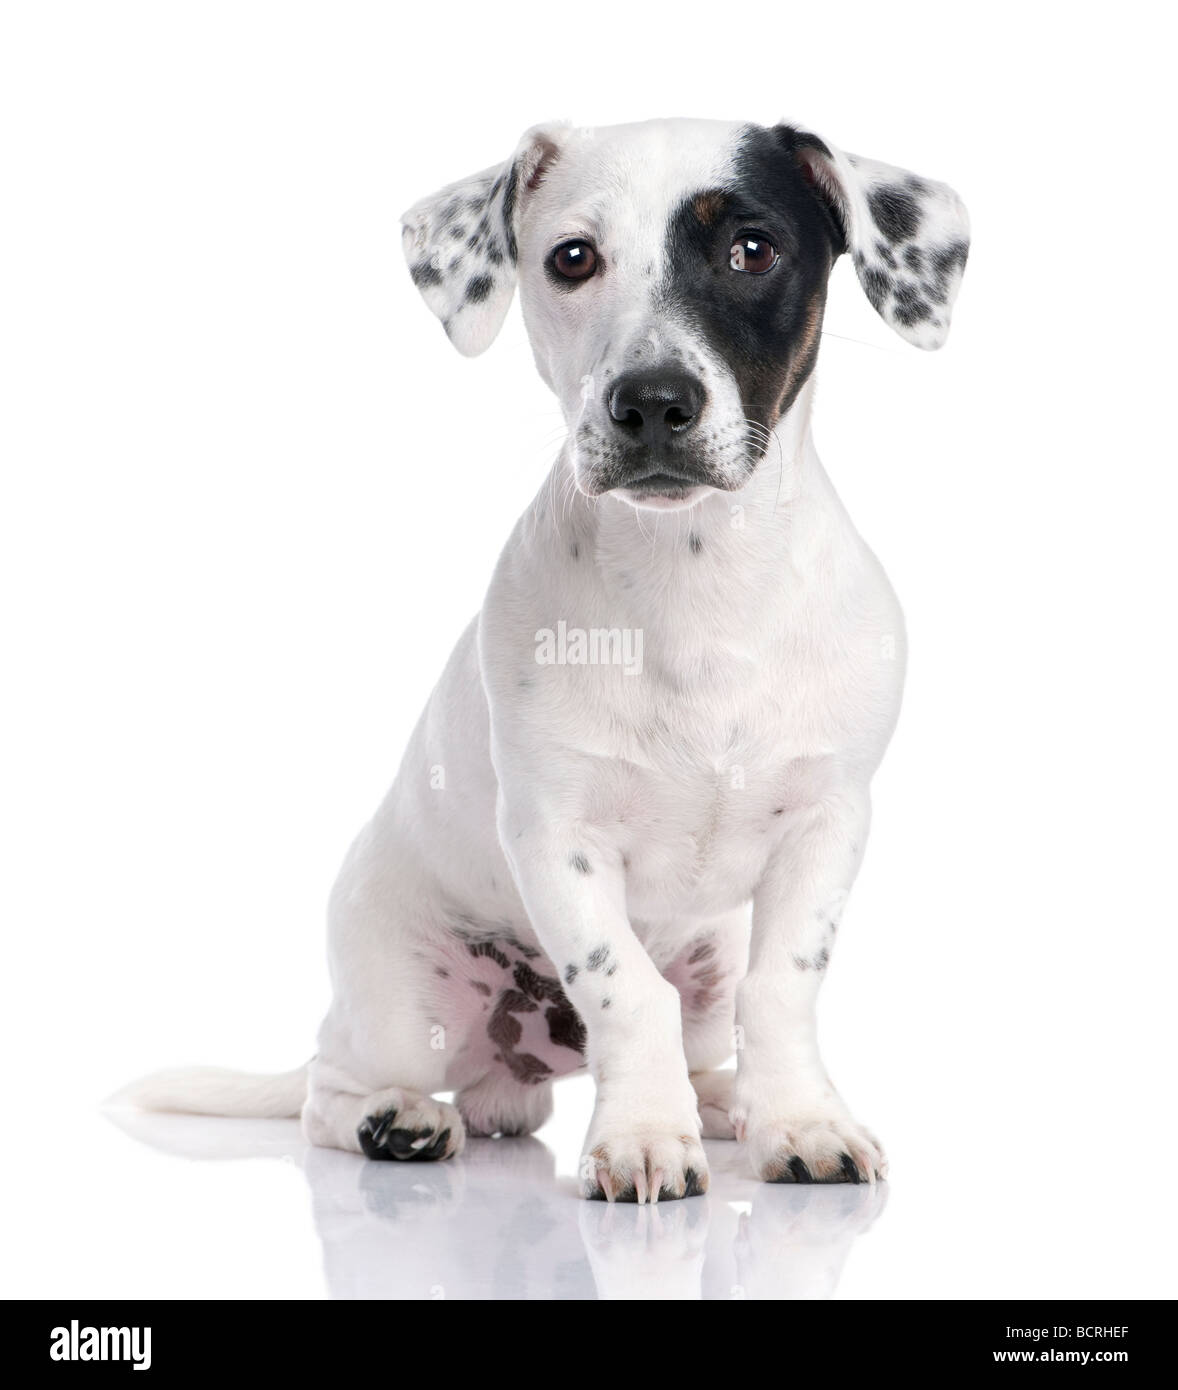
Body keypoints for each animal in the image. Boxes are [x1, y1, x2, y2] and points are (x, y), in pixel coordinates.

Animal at [131, 116, 967, 1206]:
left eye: (753, 250)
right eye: (572, 258)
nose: (651, 402)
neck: (695, 579)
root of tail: (517, 1068)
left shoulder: (827, 823)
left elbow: (783, 986)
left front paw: (798, 1119)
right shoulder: (555, 835)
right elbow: (624, 988)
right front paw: (643, 1134)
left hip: (705, 971)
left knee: (687, 1049)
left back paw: (723, 1105)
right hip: (402, 1008)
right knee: (327, 1086)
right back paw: (395, 1120)